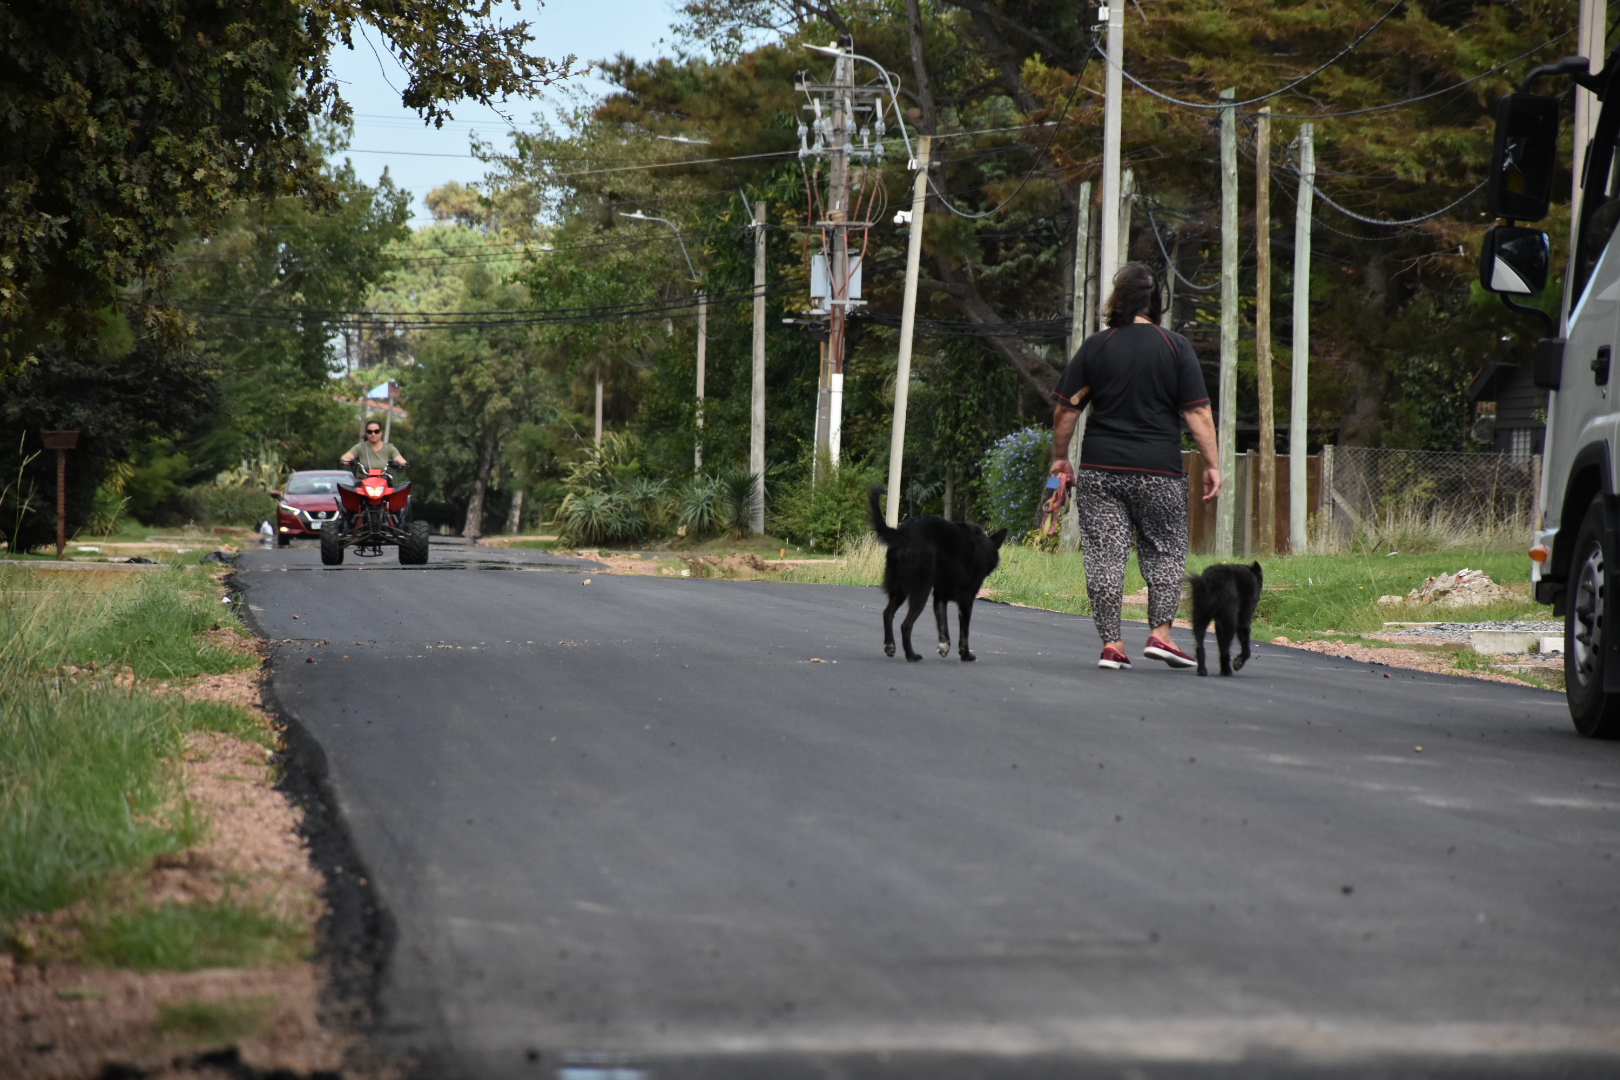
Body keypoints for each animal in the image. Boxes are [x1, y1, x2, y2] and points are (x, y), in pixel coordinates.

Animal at [868, 488, 1004, 660]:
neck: (983, 546)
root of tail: (902, 533)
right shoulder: (966, 599)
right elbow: (964, 632)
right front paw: (965, 654)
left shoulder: (940, 596)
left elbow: (943, 625)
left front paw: (944, 646)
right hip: (921, 590)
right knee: (906, 625)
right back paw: (911, 655)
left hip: (901, 590)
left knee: (888, 613)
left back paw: (890, 646)